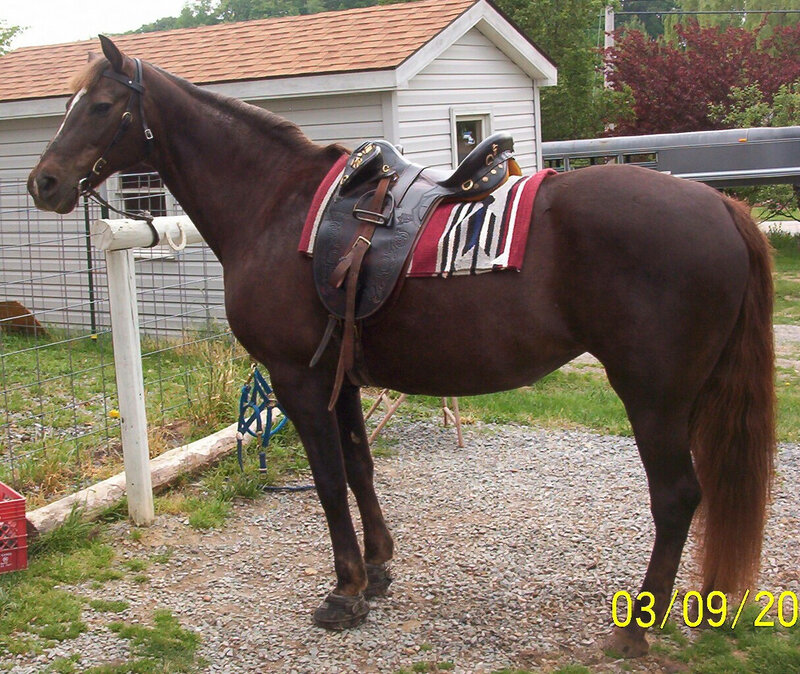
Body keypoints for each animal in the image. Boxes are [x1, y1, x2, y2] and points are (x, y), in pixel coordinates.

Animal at [28, 36, 775, 657]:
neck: (276, 209)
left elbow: (329, 482)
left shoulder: (298, 380)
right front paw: (379, 567)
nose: (44, 182)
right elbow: (360, 468)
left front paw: (345, 593)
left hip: (654, 396)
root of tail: (719, 206)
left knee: (676, 498)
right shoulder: (343, 377)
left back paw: (635, 628)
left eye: (99, 105)